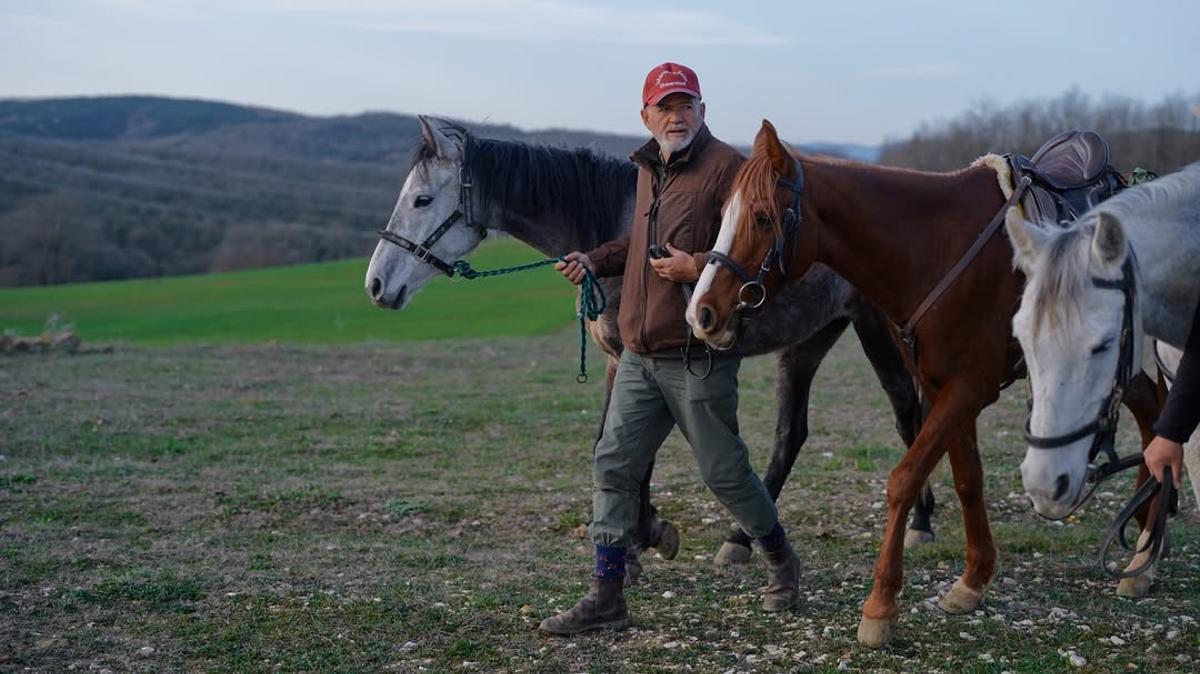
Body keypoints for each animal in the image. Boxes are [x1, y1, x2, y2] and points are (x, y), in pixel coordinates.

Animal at [363, 116, 934, 577]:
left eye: (421, 200)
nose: (375, 285)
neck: (611, 224)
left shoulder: (644, 358)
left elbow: (637, 451)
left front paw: (645, 537)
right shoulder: (618, 360)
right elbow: (611, 442)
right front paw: (644, 531)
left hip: (879, 333)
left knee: (908, 414)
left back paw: (920, 524)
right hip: (809, 342)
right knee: (791, 435)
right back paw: (739, 540)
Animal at [685, 119, 1163, 648]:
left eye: (763, 217)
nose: (701, 312)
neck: (933, 249)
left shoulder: (970, 387)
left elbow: (905, 476)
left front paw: (880, 606)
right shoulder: (941, 387)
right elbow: (967, 479)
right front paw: (973, 580)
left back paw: (1145, 555)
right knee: (1152, 408)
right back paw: (1144, 547)